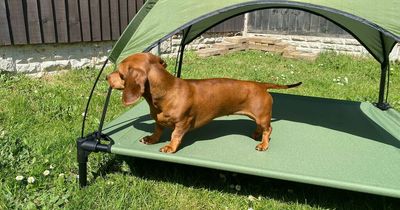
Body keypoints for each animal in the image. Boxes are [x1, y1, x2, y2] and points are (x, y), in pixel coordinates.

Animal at [106, 53, 300, 153]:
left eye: (120, 72)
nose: (107, 77)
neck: (168, 90)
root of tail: (261, 85)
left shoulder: (183, 122)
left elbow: (175, 135)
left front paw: (170, 147)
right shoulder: (158, 121)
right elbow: (158, 129)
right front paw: (151, 139)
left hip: (262, 116)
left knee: (269, 129)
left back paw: (263, 144)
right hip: (259, 116)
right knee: (261, 127)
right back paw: (256, 134)